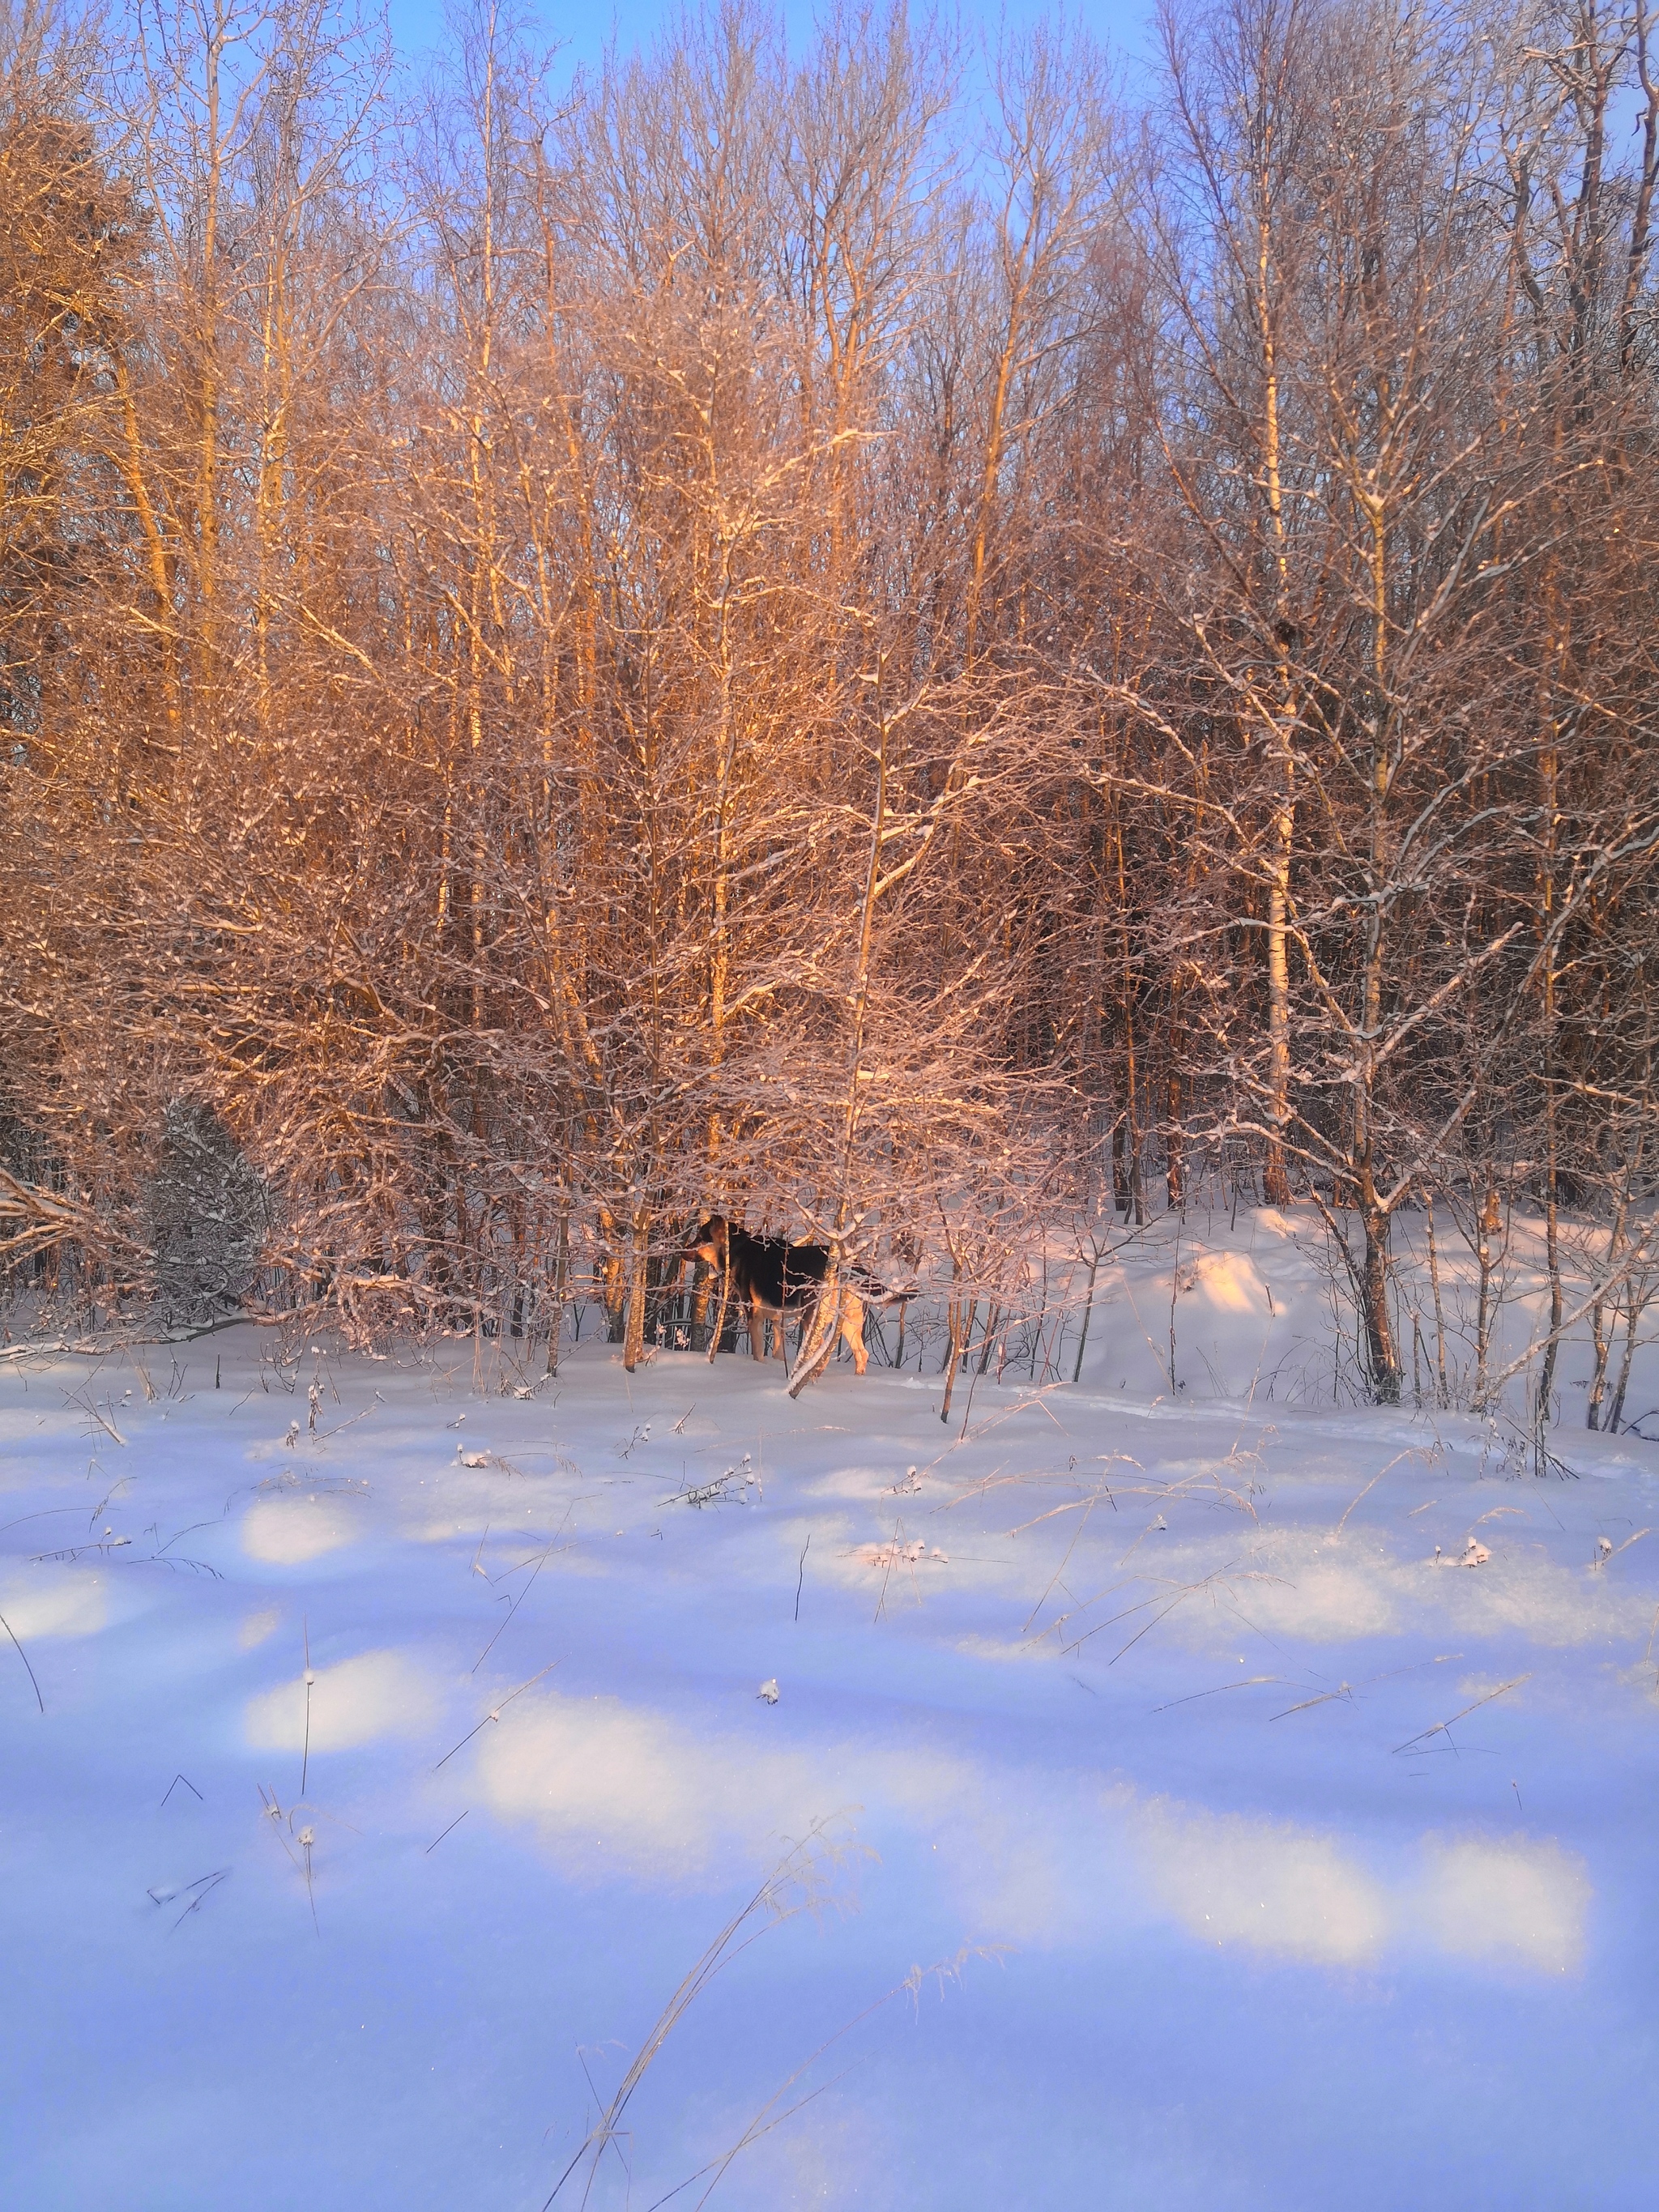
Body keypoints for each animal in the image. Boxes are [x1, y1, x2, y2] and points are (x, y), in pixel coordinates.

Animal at [681, 1221, 876, 1371]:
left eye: (700, 1238)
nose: (681, 1252)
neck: (736, 1250)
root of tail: (847, 1269)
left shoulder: (754, 1317)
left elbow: (758, 1353)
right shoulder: (777, 1320)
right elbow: (777, 1353)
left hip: (812, 1318)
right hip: (849, 1321)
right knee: (862, 1354)